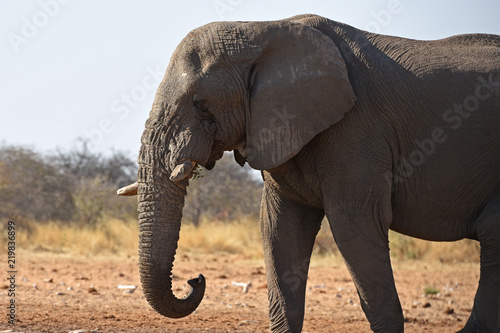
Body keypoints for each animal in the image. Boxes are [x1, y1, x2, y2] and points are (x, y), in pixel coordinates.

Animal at [118, 14, 500, 332]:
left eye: (201, 104)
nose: (195, 279)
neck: (262, 30)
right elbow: (278, 228)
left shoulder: (358, 129)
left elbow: (355, 225)